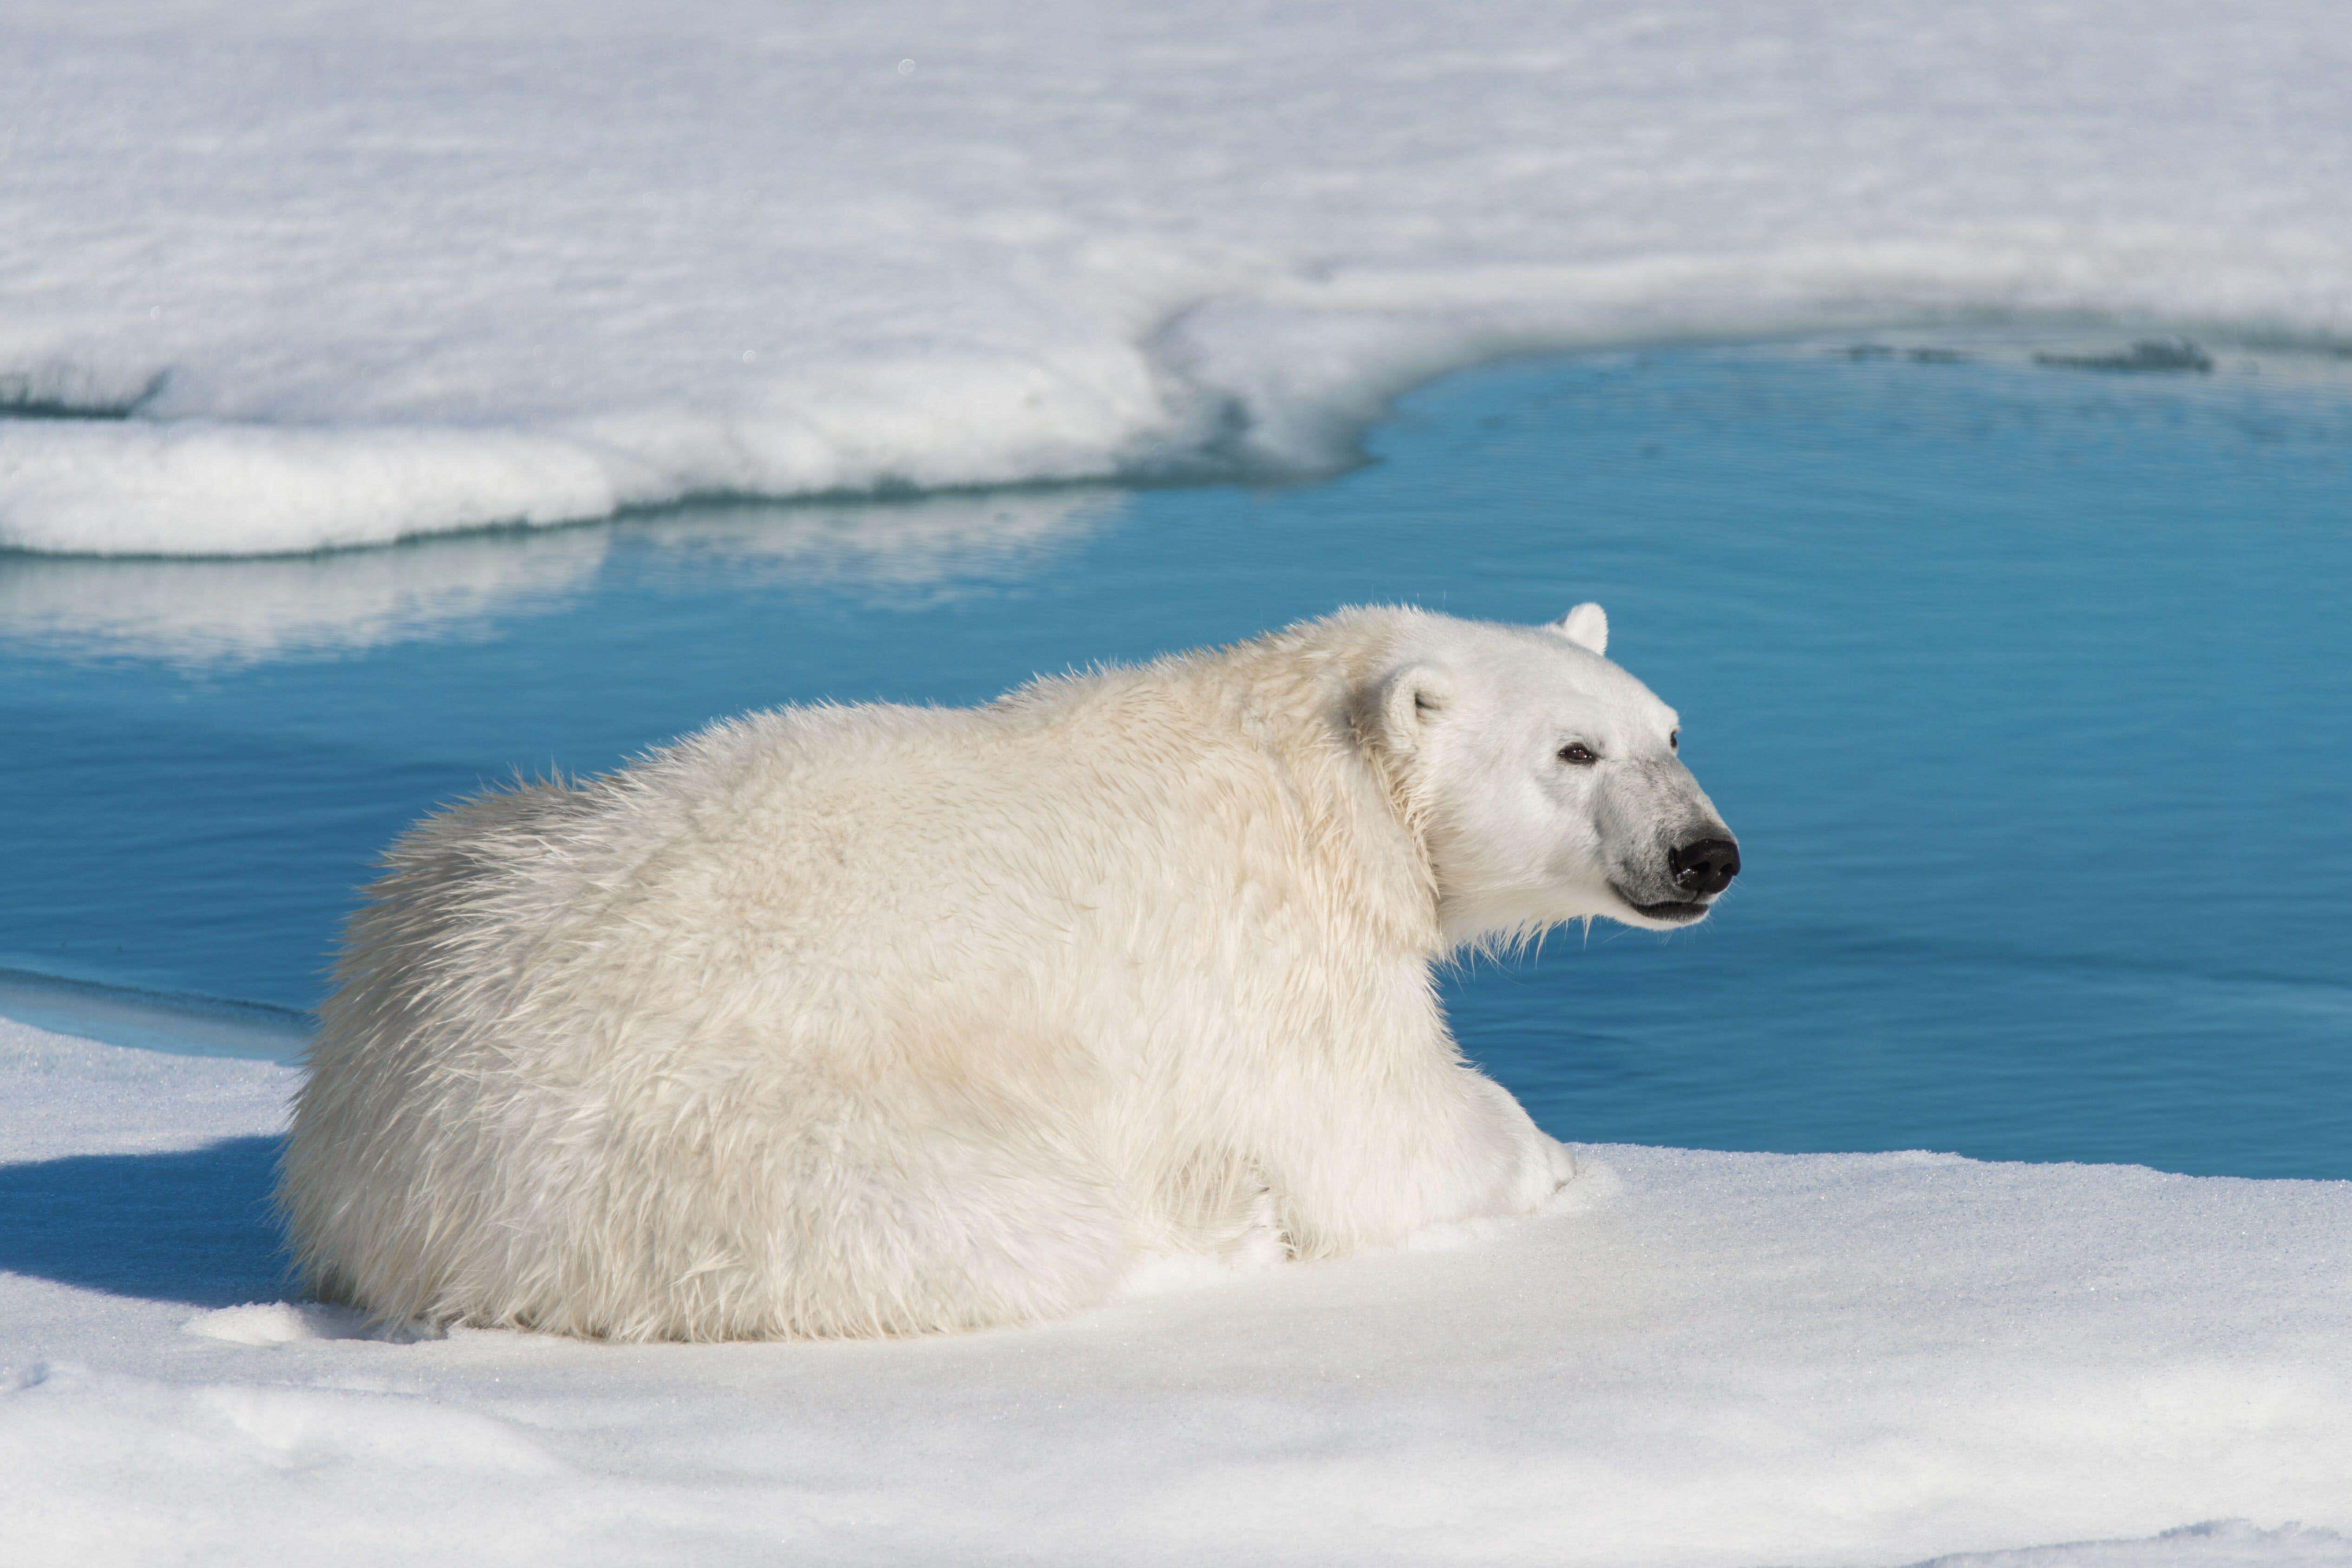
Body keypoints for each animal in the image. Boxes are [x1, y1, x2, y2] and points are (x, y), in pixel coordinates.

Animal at [278, 604, 1739, 1341]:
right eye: (1572, 753)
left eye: (1669, 729)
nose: (1704, 853)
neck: (1312, 772)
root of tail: (392, 1174)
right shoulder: (1270, 955)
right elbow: (1369, 1138)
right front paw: (1537, 1158)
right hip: (736, 1134)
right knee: (991, 1225)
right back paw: (1204, 1240)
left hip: (450, 861)